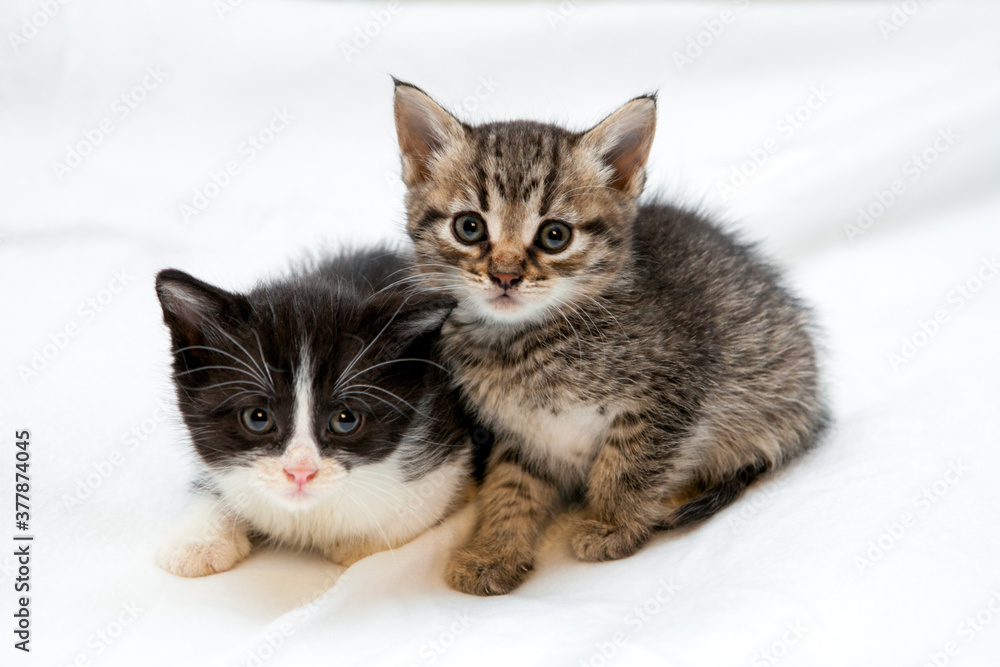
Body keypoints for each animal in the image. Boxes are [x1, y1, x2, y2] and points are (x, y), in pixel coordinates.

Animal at [154, 248, 474, 576]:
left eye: (345, 420)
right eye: (257, 418)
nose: (301, 472)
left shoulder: (444, 448)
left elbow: (419, 507)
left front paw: (354, 543)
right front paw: (198, 540)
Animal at [392, 81, 828, 596]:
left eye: (554, 235)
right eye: (469, 227)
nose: (505, 275)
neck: (517, 345)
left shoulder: (672, 390)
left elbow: (628, 465)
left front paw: (612, 524)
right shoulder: (524, 432)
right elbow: (509, 487)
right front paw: (493, 550)